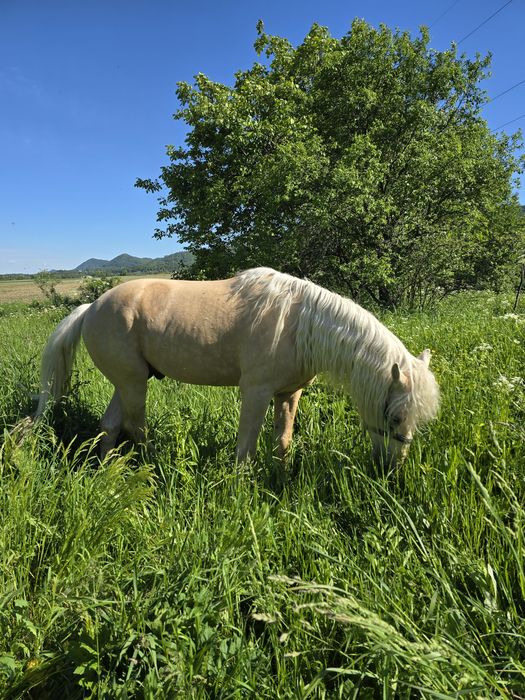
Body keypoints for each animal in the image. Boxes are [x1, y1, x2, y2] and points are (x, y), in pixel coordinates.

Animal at [33, 267, 439, 465]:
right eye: (394, 416)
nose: (392, 466)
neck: (298, 324)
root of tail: (92, 308)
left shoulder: (289, 394)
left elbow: (283, 441)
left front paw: (281, 479)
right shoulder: (255, 393)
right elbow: (247, 445)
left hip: (127, 381)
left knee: (111, 424)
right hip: (134, 383)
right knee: (135, 426)